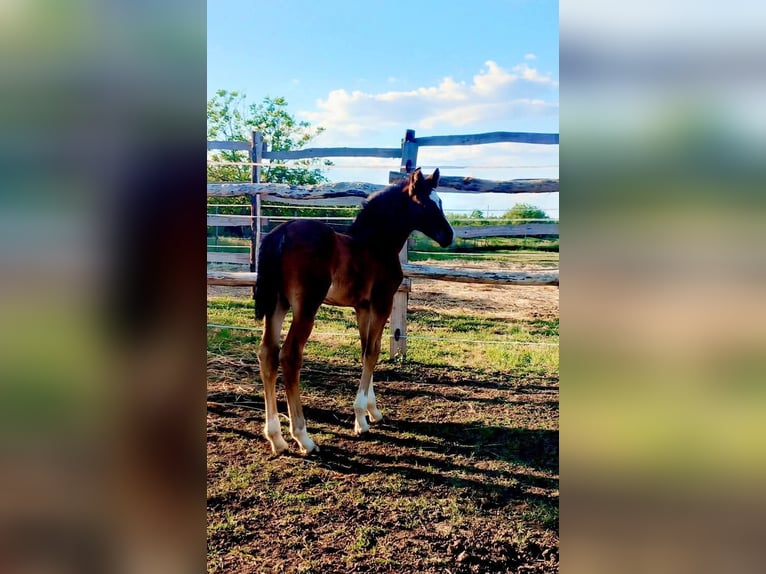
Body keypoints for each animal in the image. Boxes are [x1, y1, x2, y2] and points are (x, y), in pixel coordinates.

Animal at [255, 168, 453, 455]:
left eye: (440, 202)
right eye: (427, 204)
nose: (449, 236)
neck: (376, 244)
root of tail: (280, 234)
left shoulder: (363, 308)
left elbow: (364, 351)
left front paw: (373, 411)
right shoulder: (383, 303)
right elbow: (372, 352)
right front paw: (361, 419)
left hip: (277, 304)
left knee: (267, 354)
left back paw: (276, 438)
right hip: (306, 307)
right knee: (290, 356)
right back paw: (303, 437)